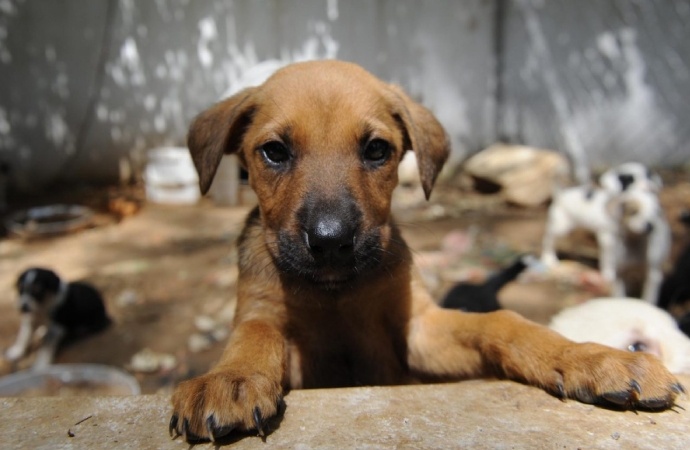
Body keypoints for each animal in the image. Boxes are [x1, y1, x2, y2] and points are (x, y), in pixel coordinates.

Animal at [171, 60, 676, 442]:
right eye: (274, 152)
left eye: (377, 150)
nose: (332, 243)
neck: (336, 293)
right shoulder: (272, 323)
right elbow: (255, 333)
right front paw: (231, 379)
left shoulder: (419, 330)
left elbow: (503, 322)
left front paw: (593, 358)